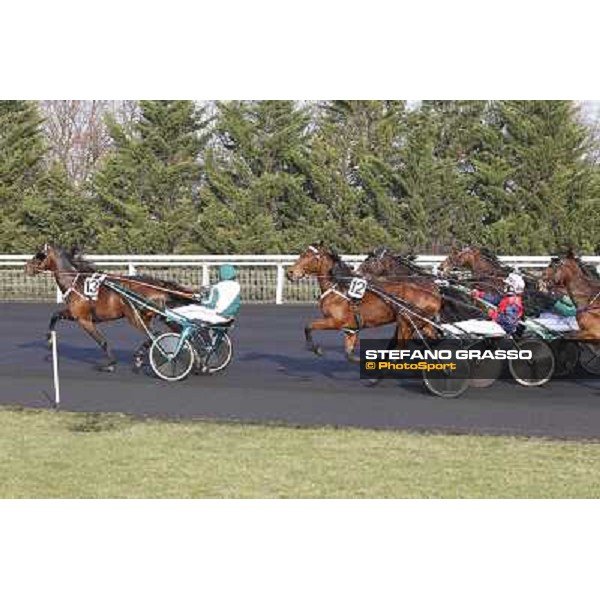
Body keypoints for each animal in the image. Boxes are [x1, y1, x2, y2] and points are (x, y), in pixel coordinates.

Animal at [25, 243, 195, 370]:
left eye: (39, 255)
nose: (27, 267)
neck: (75, 282)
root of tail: (158, 285)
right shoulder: (74, 314)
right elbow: (55, 315)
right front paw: (49, 340)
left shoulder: (83, 319)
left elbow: (102, 341)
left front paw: (110, 363)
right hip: (153, 316)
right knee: (172, 333)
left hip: (135, 317)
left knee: (156, 335)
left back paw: (144, 357)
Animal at [286, 243, 440, 360]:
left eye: (308, 256)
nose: (290, 272)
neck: (340, 287)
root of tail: (434, 294)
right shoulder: (350, 329)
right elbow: (348, 354)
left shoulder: (335, 321)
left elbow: (308, 326)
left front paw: (317, 350)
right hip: (421, 323)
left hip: (407, 323)